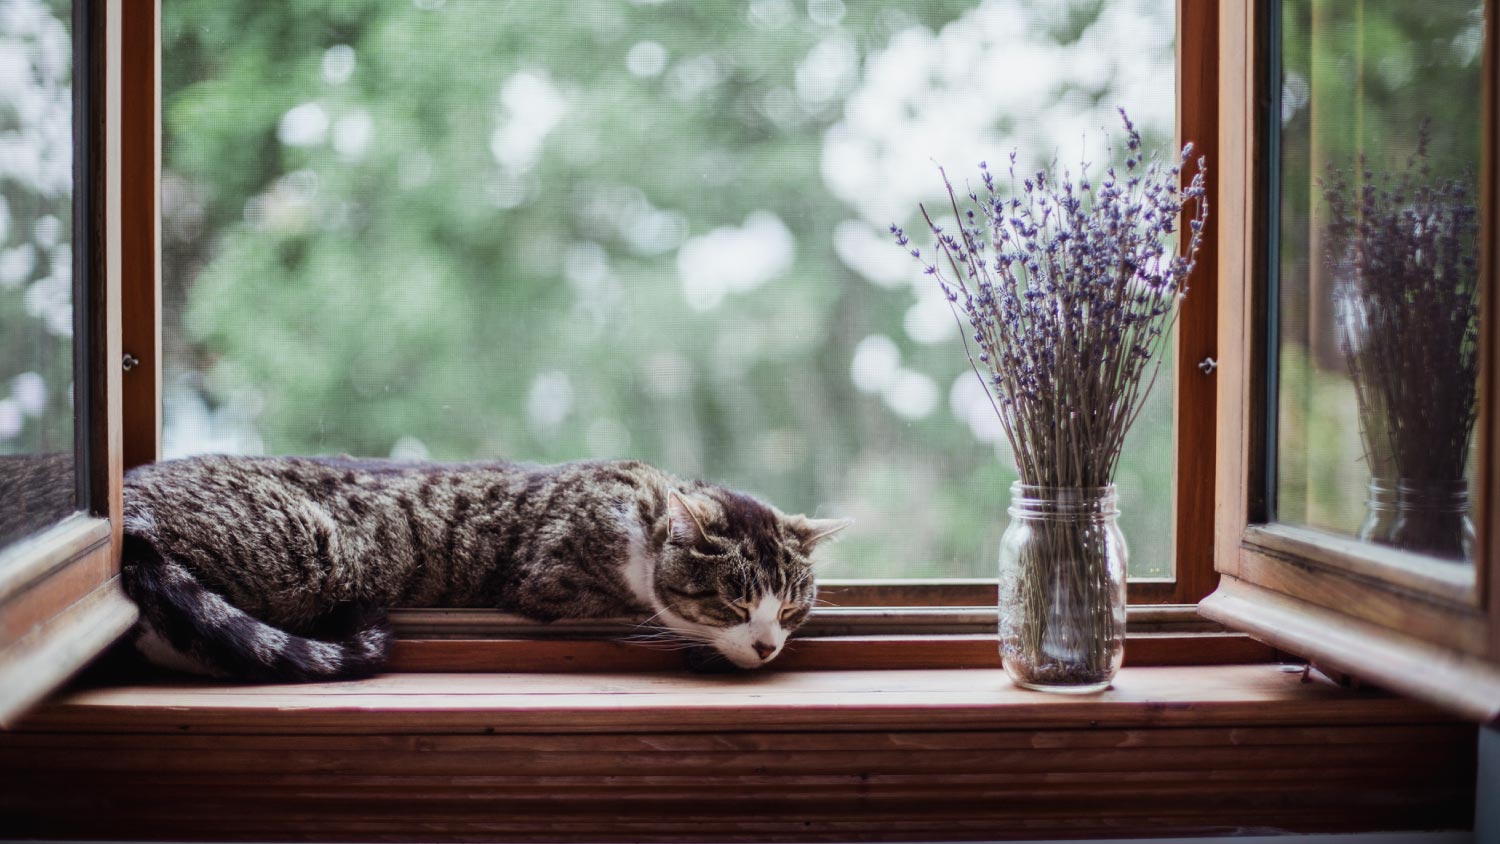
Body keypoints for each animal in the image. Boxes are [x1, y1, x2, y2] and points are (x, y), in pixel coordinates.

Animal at [123, 452, 852, 683]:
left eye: (791, 609)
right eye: (733, 605)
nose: (766, 647)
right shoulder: (552, 578)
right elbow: (647, 611)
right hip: (308, 550)